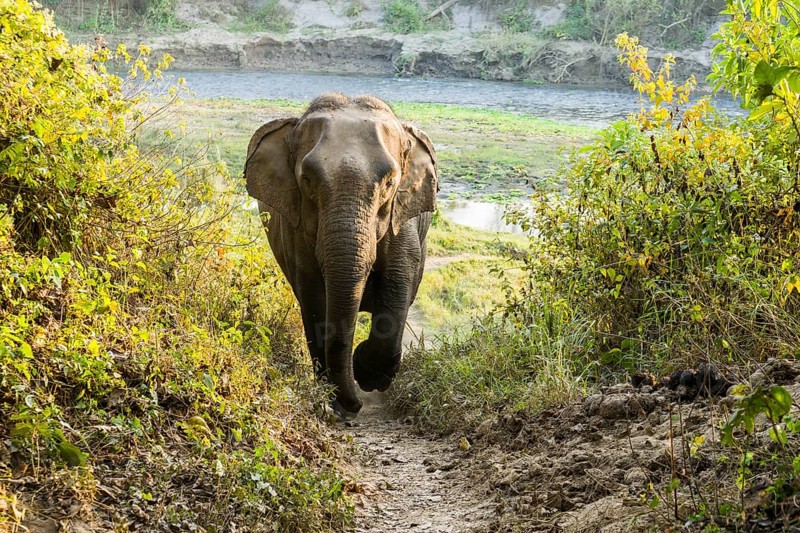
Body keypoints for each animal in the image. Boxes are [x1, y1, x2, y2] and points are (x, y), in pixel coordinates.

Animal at [244, 93, 438, 417]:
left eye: (389, 182)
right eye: (307, 179)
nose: (356, 404)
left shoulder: (402, 223)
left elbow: (398, 287)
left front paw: (366, 373)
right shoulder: (296, 232)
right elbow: (314, 301)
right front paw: (335, 399)